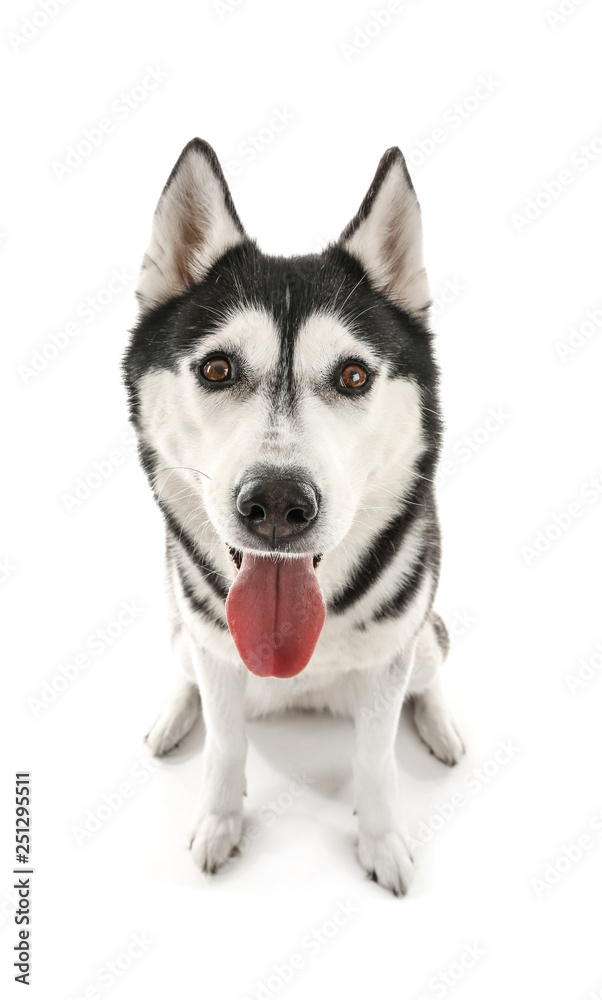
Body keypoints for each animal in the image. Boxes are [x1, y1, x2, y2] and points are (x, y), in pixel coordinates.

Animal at [123, 137, 464, 896]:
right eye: (217, 370)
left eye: (353, 376)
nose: (277, 505)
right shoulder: (215, 651)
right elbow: (225, 744)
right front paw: (220, 822)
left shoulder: (388, 662)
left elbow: (376, 759)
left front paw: (381, 839)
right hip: (182, 632)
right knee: (186, 670)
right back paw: (172, 717)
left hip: (425, 642)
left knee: (430, 675)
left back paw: (441, 725)